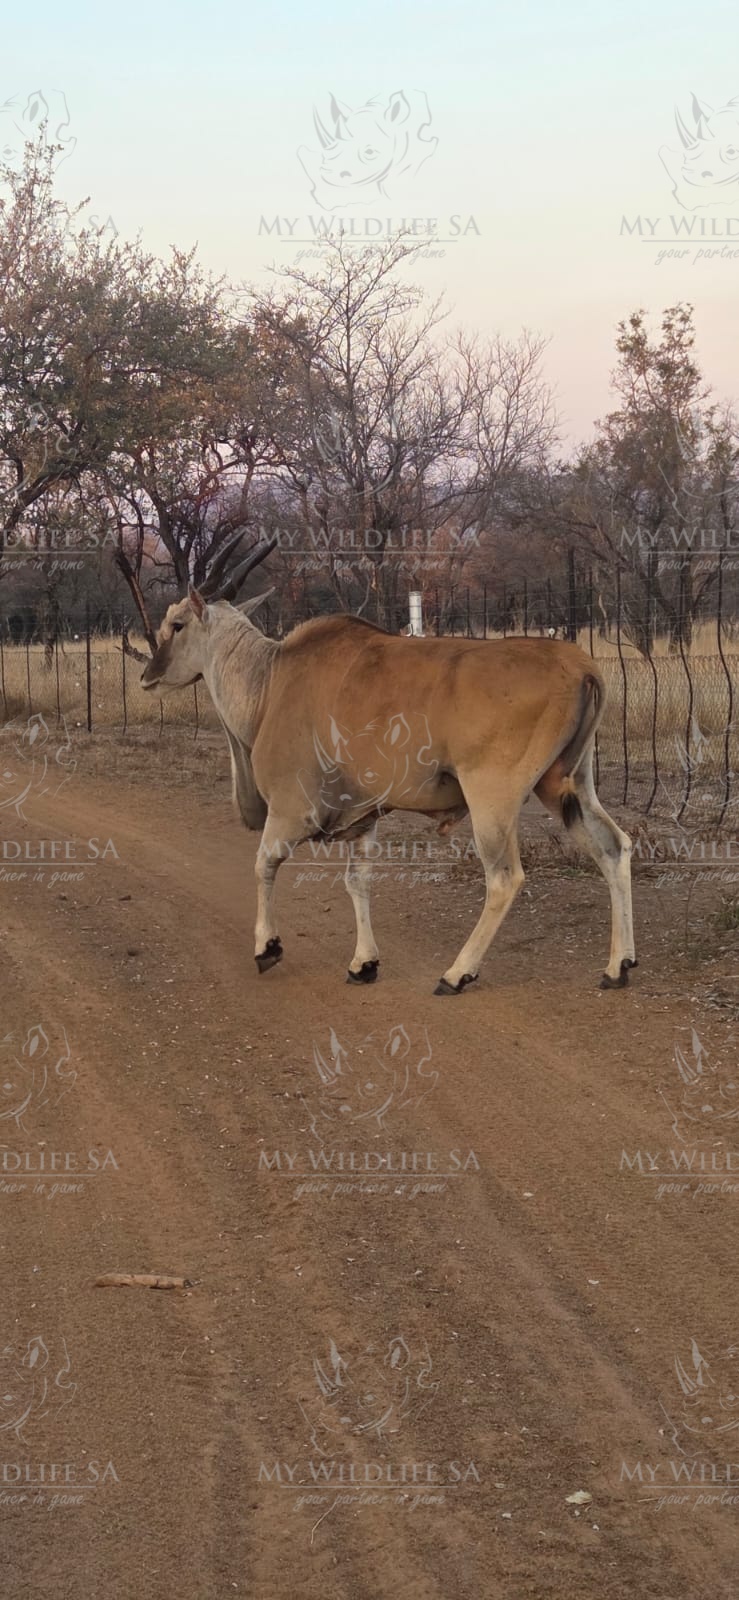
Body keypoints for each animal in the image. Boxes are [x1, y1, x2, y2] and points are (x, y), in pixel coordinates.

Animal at [140, 535, 636, 994]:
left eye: (176, 624)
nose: (148, 676)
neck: (270, 679)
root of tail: (582, 668)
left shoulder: (289, 811)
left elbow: (265, 864)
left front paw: (267, 947)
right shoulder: (363, 818)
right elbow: (357, 882)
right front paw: (364, 963)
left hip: (491, 797)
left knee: (504, 878)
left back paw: (457, 973)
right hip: (568, 783)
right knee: (613, 846)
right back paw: (618, 966)